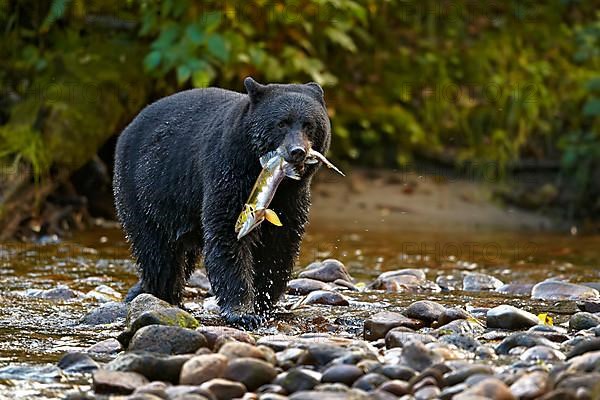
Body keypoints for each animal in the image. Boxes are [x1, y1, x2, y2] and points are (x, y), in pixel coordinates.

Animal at [112, 77, 328, 328]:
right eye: (281, 124)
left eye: (309, 125)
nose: (297, 151)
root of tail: (127, 129)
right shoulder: (228, 172)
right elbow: (227, 233)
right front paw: (243, 312)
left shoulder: (293, 196)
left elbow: (280, 244)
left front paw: (263, 302)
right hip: (142, 193)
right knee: (158, 255)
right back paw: (160, 296)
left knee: (181, 258)